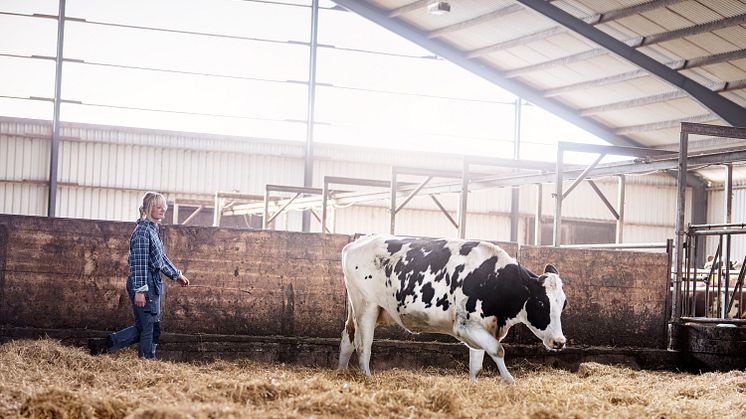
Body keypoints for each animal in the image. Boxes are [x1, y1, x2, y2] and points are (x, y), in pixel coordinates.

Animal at [336, 235, 564, 386]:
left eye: (564, 303)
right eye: (541, 303)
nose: (560, 342)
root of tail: (355, 243)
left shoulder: (482, 327)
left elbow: (477, 365)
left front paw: (474, 386)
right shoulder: (465, 326)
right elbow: (497, 350)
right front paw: (509, 381)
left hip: (359, 308)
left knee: (348, 337)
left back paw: (341, 372)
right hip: (367, 306)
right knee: (363, 345)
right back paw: (366, 377)